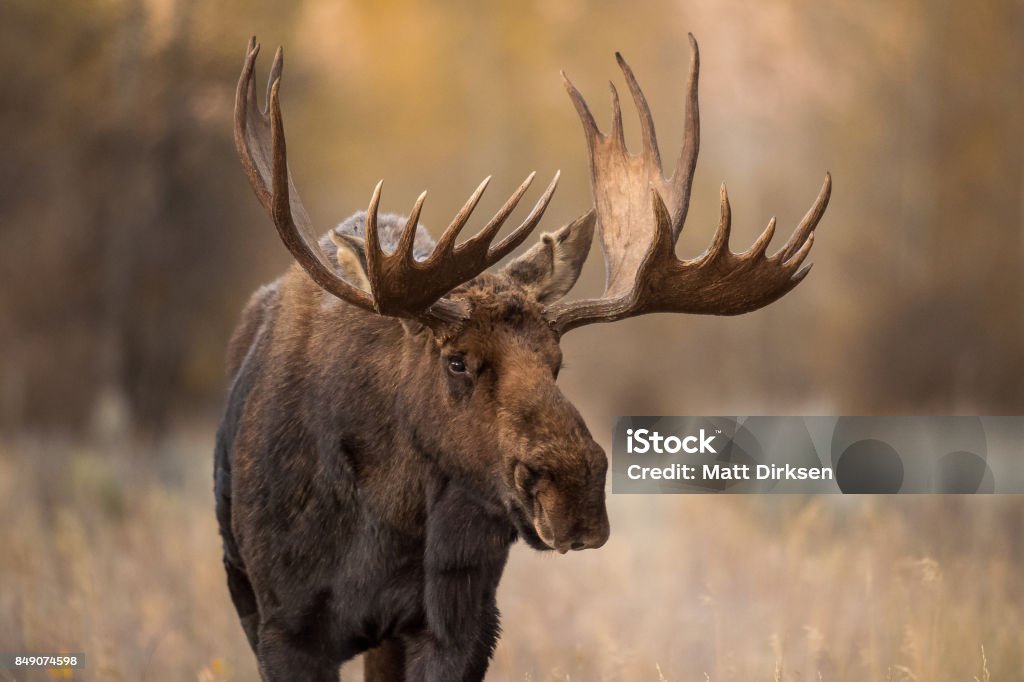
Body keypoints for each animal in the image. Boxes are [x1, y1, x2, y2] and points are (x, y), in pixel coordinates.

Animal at [216, 33, 831, 679]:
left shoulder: (460, 622)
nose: (575, 490)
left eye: (556, 362)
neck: (380, 521)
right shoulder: (284, 624)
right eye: (456, 360)